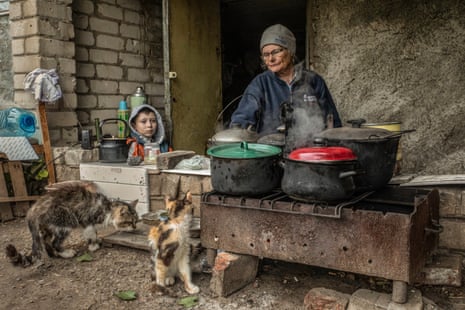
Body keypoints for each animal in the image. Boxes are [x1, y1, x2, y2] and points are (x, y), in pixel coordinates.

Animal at [5, 180, 138, 268]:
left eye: (136, 221)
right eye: (130, 222)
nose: (135, 227)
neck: (107, 209)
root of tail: (34, 208)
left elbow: (94, 233)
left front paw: (97, 241)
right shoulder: (87, 219)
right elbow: (91, 233)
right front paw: (93, 246)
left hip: (48, 226)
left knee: (45, 240)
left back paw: (53, 254)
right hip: (66, 220)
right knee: (55, 242)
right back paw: (66, 253)